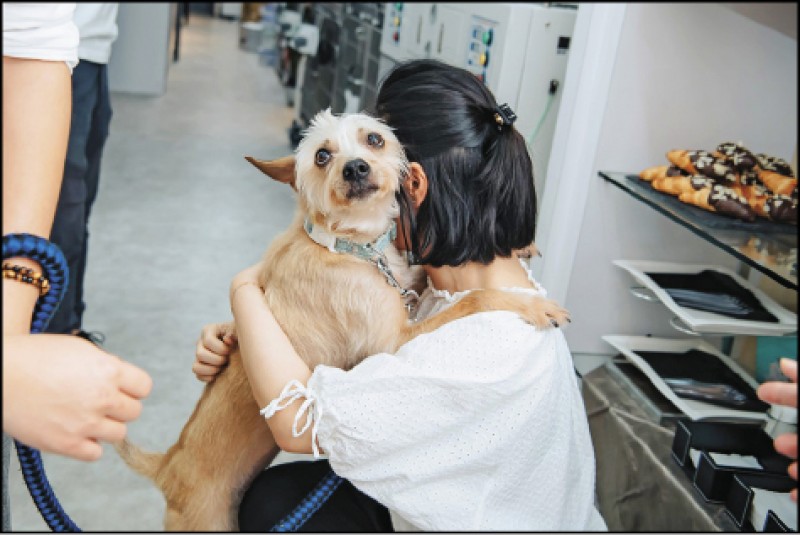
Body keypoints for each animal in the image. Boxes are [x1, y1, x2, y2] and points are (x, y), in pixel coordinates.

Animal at [117, 110, 568, 532]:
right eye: (322, 156)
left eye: (375, 139)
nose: (355, 168)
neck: (352, 246)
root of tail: (167, 466)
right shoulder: (393, 343)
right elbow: (472, 298)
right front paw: (529, 304)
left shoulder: (409, 284)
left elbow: (428, 278)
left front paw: (522, 244)